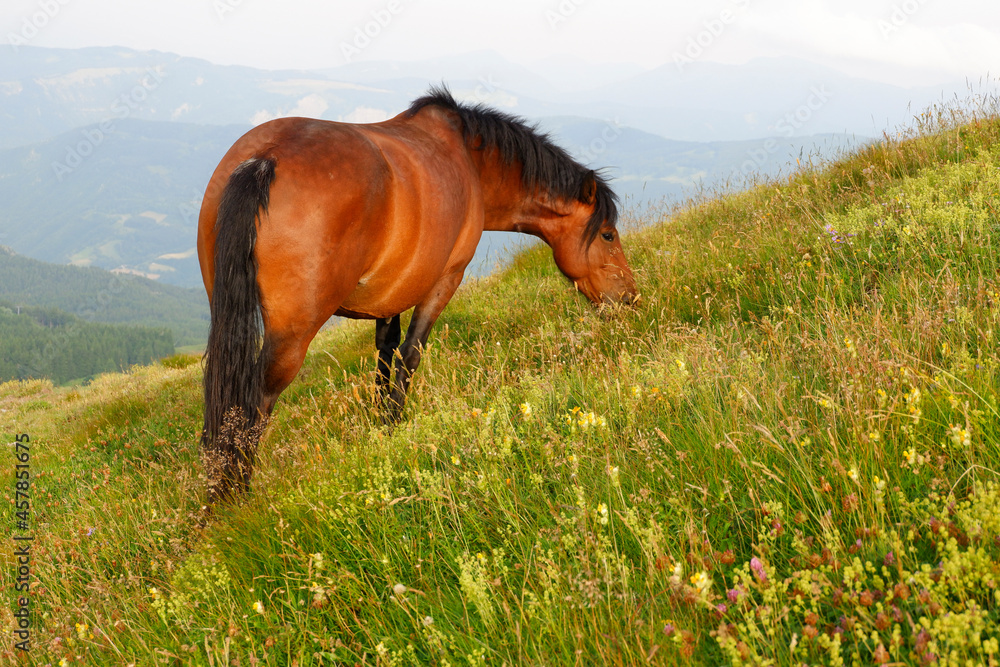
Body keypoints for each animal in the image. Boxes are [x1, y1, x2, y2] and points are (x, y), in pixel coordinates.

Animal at [197, 86, 638, 503]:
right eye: (608, 235)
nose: (630, 297)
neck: (471, 162)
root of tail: (265, 159)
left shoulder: (390, 292)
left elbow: (385, 353)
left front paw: (377, 425)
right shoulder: (445, 278)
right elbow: (410, 354)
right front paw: (393, 424)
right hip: (291, 336)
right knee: (254, 403)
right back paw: (235, 497)